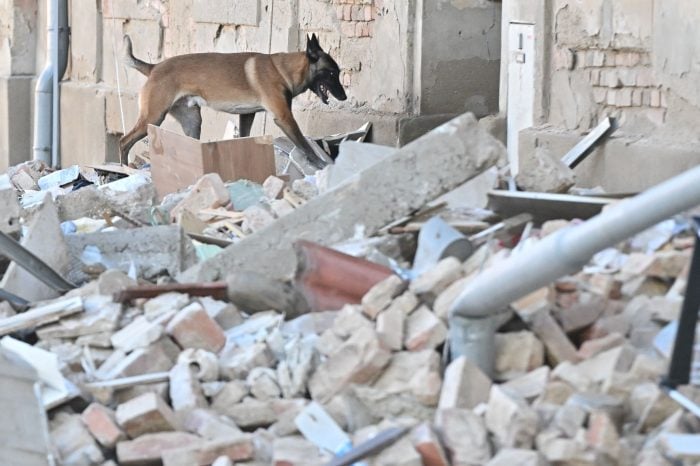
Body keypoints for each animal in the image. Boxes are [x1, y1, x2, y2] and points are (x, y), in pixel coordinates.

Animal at [121, 35, 348, 169]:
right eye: (331, 73)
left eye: (337, 72)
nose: (344, 97)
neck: (283, 69)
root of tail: (154, 67)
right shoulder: (284, 118)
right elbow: (304, 144)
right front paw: (320, 164)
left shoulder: (247, 115)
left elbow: (244, 136)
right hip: (153, 117)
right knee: (124, 141)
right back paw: (123, 168)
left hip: (192, 121)